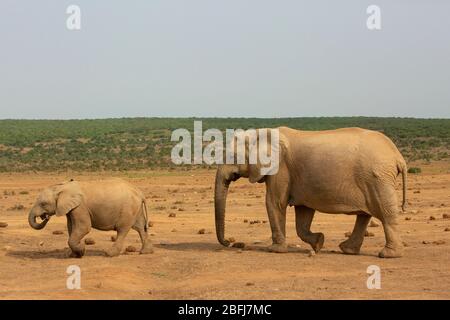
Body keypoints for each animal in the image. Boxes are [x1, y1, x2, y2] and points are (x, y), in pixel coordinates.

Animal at [214, 126, 408, 258]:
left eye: (232, 156)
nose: (230, 243)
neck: (260, 134)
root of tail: (398, 157)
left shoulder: (281, 169)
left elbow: (275, 203)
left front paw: (275, 250)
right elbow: (303, 214)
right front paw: (318, 243)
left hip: (377, 178)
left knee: (385, 213)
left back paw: (388, 254)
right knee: (364, 215)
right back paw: (348, 250)